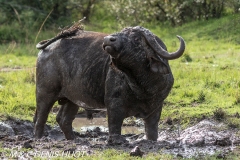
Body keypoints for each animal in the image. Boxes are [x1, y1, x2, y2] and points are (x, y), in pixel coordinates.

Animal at [33, 25, 185, 143]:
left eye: (136, 38)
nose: (108, 40)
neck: (141, 87)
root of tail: (47, 48)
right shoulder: (114, 104)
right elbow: (115, 125)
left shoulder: (156, 108)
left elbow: (152, 132)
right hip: (45, 92)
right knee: (40, 118)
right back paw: (39, 139)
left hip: (72, 99)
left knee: (63, 119)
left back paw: (74, 139)